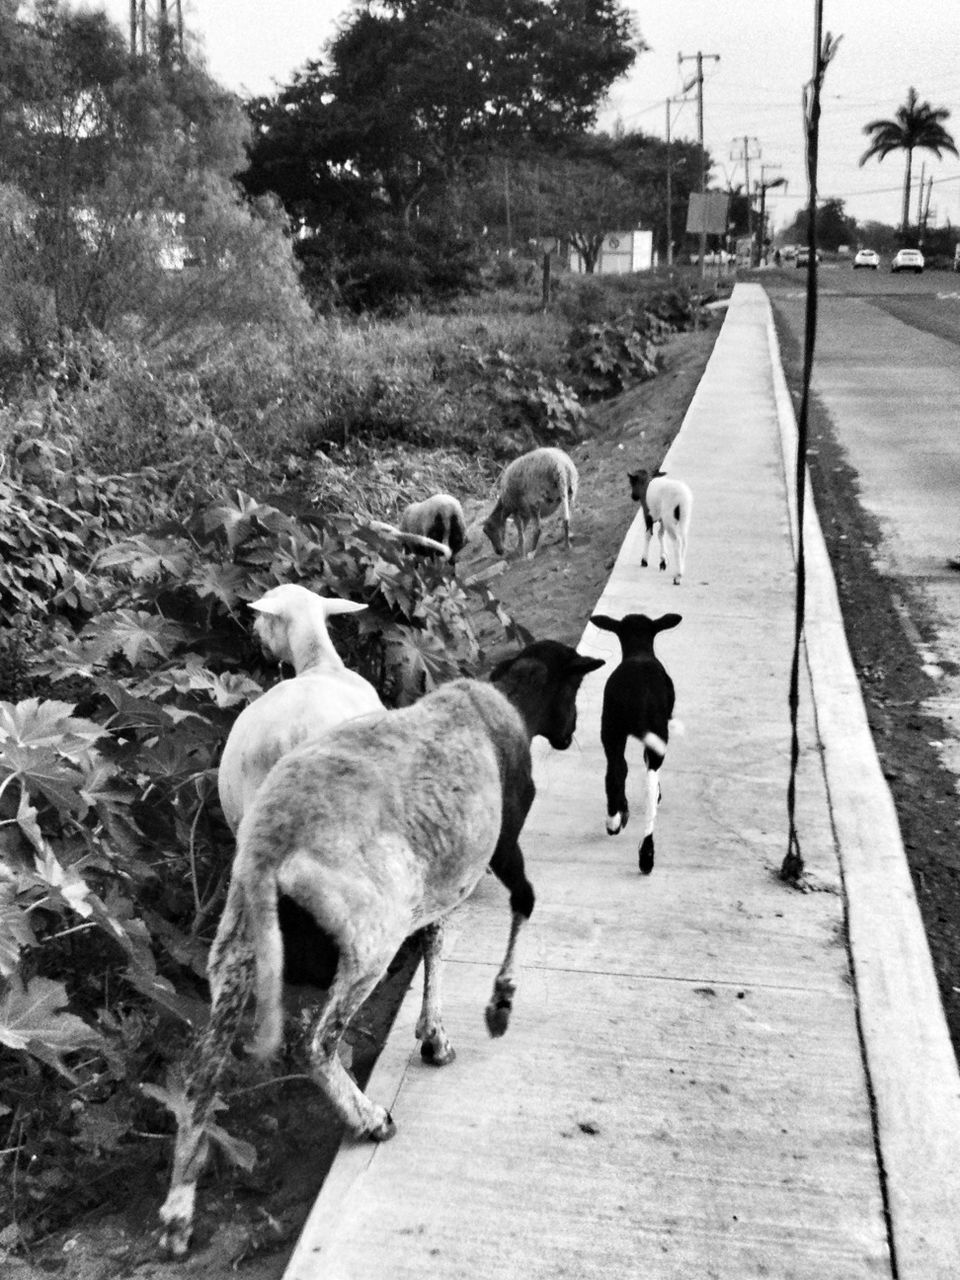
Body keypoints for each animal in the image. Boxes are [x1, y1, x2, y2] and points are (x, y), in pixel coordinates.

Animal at [160, 634, 609, 1254]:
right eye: (577, 685)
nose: (569, 734)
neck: (503, 700)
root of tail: (271, 842)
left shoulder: (436, 880)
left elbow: (437, 940)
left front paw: (435, 1036)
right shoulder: (499, 847)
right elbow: (518, 905)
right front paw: (497, 1005)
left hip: (240, 943)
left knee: (202, 1070)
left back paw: (177, 1213)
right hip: (369, 931)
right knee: (316, 1043)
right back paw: (371, 1119)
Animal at [591, 611, 680, 875]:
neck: (639, 651)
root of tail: (638, 698)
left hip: (611, 728)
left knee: (615, 770)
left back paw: (614, 820)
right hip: (649, 732)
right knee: (646, 784)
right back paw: (645, 854)